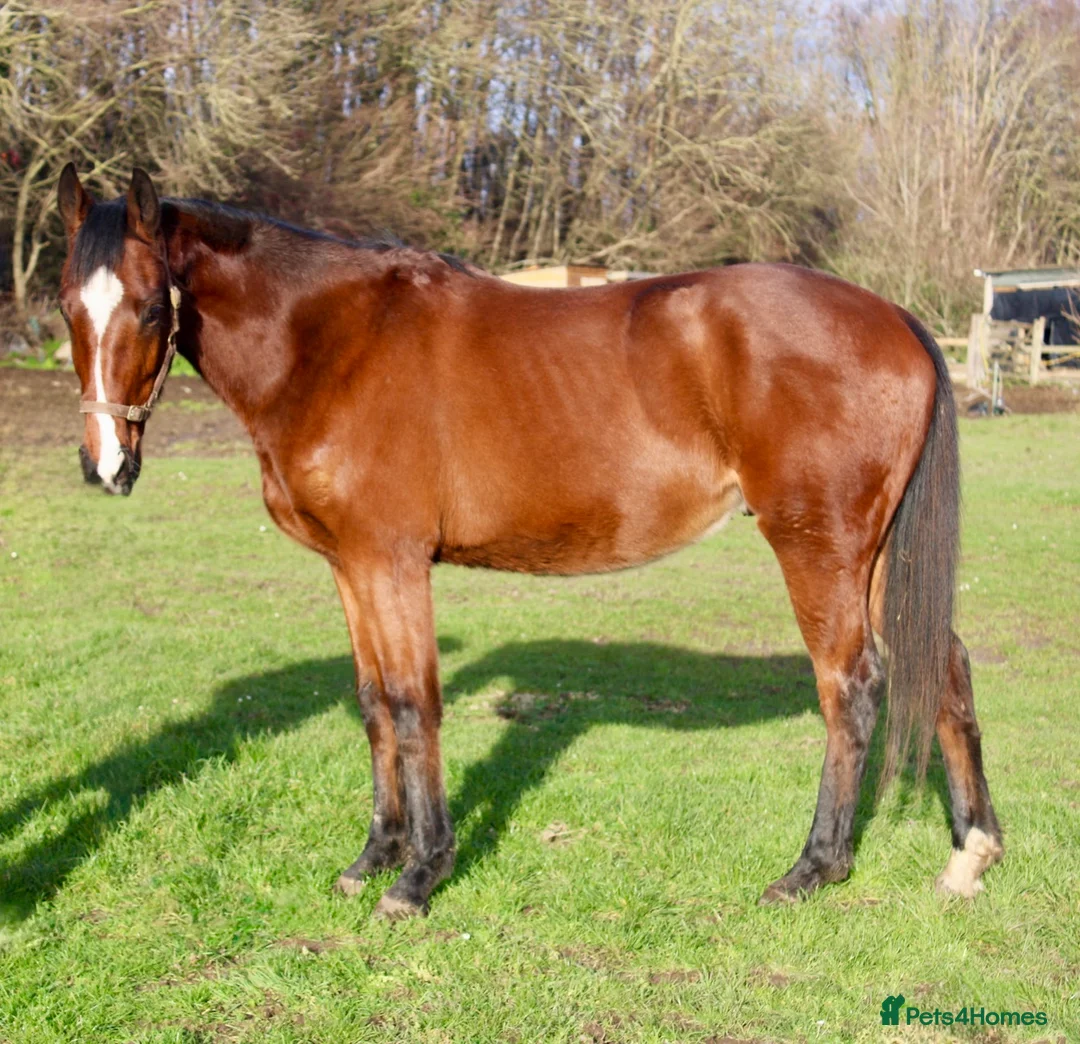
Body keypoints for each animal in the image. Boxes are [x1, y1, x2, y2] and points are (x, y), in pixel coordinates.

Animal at [55, 164, 1002, 918]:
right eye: (67, 308)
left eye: (151, 307)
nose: (105, 467)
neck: (335, 341)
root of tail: (894, 317)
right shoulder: (351, 568)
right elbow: (372, 702)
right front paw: (372, 859)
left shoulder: (394, 564)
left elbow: (414, 704)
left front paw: (420, 875)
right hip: (876, 557)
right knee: (944, 667)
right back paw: (970, 855)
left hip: (820, 550)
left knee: (853, 687)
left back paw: (813, 868)